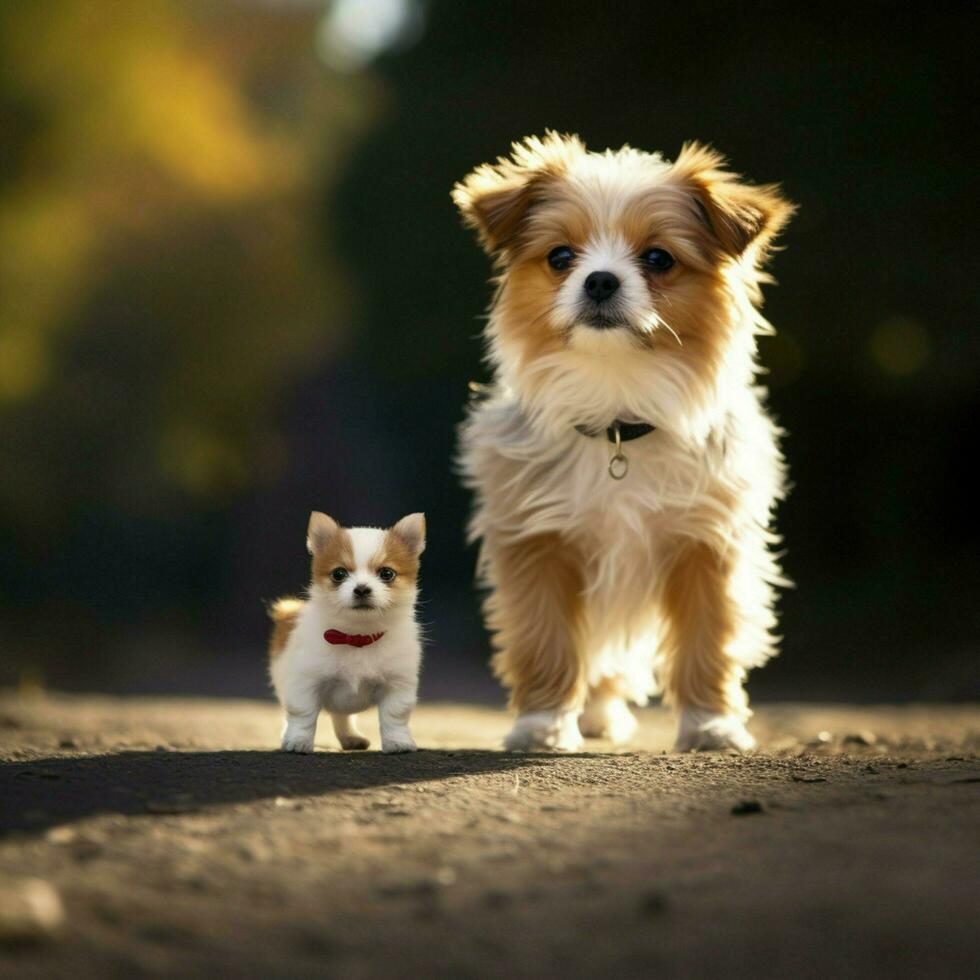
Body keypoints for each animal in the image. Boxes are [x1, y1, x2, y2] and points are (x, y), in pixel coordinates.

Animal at [268, 512, 424, 756]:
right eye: (339, 574)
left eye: (387, 574)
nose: (361, 589)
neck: (357, 637)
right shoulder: (305, 683)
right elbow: (302, 714)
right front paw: (298, 741)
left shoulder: (397, 684)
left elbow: (394, 716)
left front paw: (397, 742)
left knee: (341, 717)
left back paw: (351, 738)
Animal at [454, 134, 796, 756]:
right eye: (561, 256)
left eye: (658, 258)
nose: (600, 280)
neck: (617, 415)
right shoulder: (537, 545)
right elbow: (547, 641)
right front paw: (542, 726)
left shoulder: (709, 545)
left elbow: (708, 643)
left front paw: (711, 726)